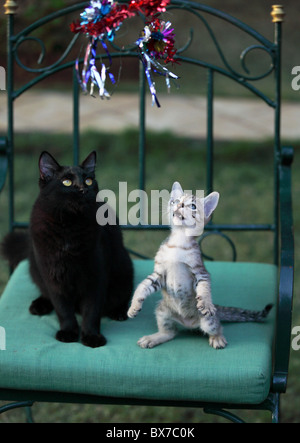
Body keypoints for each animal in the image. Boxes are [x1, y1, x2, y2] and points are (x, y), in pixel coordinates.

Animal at [0, 151, 132, 348]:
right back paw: (39, 305)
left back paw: (119, 312)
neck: (69, 226)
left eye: (89, 181)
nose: (83, 189)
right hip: (35, 268)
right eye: (67, 182)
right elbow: (62, 309)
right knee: (45, 293)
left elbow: (92, 310)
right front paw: (69, 332)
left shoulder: (96, 275)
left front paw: (91, 336)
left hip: (124, 268)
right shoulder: (52, 274)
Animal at [127, 182, 274, 348]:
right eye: (175, 200)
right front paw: (133, 306)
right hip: (162, 311)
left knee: (217, 326)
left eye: (192, 206)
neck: (178, 243)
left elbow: (204, 288)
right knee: (171, 332)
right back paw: (155, 337)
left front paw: (206, 302)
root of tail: (187, 323)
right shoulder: (158, 274)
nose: (178, 204)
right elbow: (142, 286)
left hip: (207, 320)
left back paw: (217, 337)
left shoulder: (200, 272)